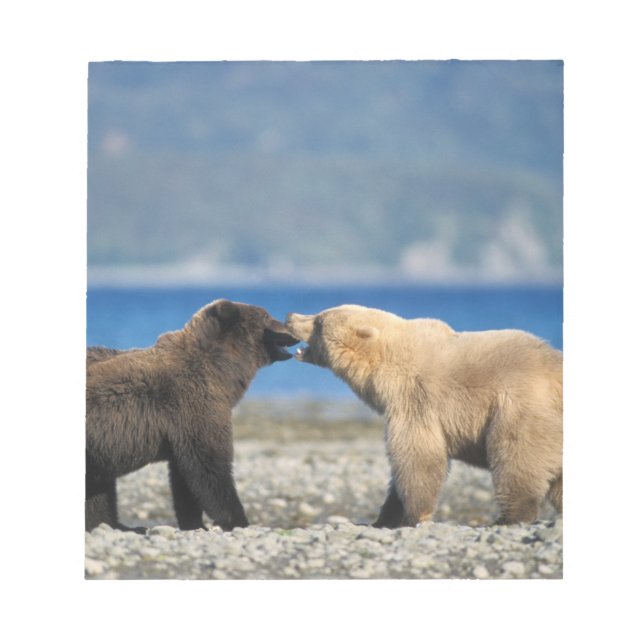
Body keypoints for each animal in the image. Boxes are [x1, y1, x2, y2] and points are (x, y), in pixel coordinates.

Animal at [86, 299, 297, 532]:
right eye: (267, 316)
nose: (293, 333)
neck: (222, 371)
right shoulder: (193, 408)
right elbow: (209, 467)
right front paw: (238, 520)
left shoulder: (182, 429)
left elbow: (184, 479)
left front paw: (195, 523)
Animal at [286, 304, 562, 527]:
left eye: (319, 321)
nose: (290, 317)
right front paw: (385, 517)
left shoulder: (416, 399)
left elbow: (417, 456)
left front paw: (412, 516)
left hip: (519, 409)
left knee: (515, 456)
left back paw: (509, 517)